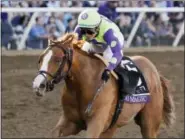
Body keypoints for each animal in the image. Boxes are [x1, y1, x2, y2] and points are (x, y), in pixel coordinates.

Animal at [32, 32, 176, 138]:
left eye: (57, 59)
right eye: (40, 59)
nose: (39, 85)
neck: (84, 85)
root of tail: (155, 72)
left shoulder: (96, 123)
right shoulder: (71, 122)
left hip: (149, 123)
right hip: (112, 128)